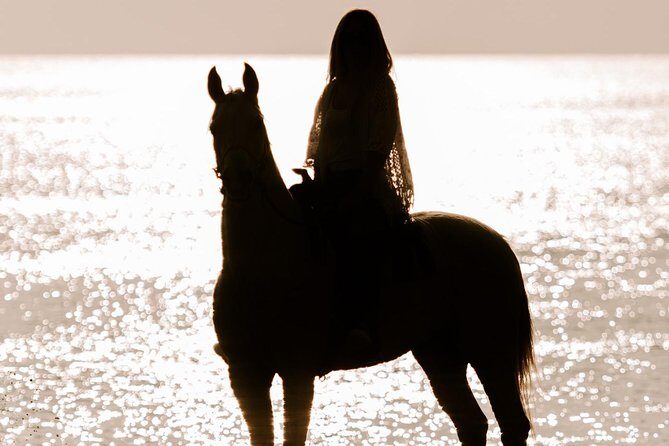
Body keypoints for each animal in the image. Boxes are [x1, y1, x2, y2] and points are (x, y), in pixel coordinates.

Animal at [207, 63, 535, 446]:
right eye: (214, 128)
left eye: (257, 125)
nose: (239, 180)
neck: (263, 264)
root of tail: (498, 243)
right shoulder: (246, 374)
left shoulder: (296, 369)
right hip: (439, 352)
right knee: (471, 423)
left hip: (490, 349)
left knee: (512, 423)